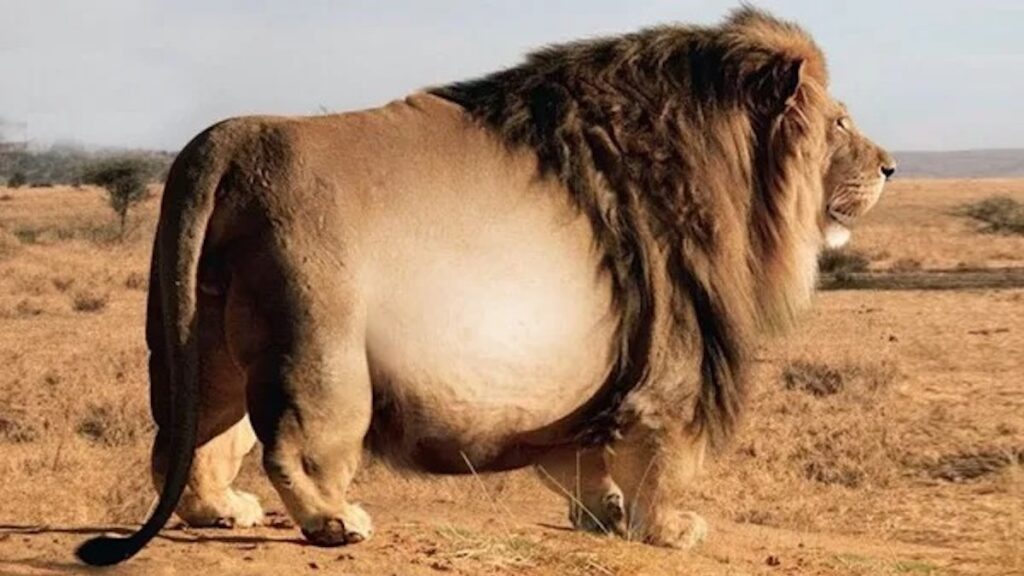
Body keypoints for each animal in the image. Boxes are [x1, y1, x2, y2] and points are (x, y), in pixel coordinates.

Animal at [77, 8, 894, 565]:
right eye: (840, 123)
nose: (890, 166)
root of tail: (229, 138)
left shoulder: (595, 375)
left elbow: (583, 459)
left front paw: (604, 514)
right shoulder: (673, 359)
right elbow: (659, 458)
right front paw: (667, 529)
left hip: (200, 337)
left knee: (189, 435)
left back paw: (219, 510)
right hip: (322, 346)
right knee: (291, 444)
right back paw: (335, 522)